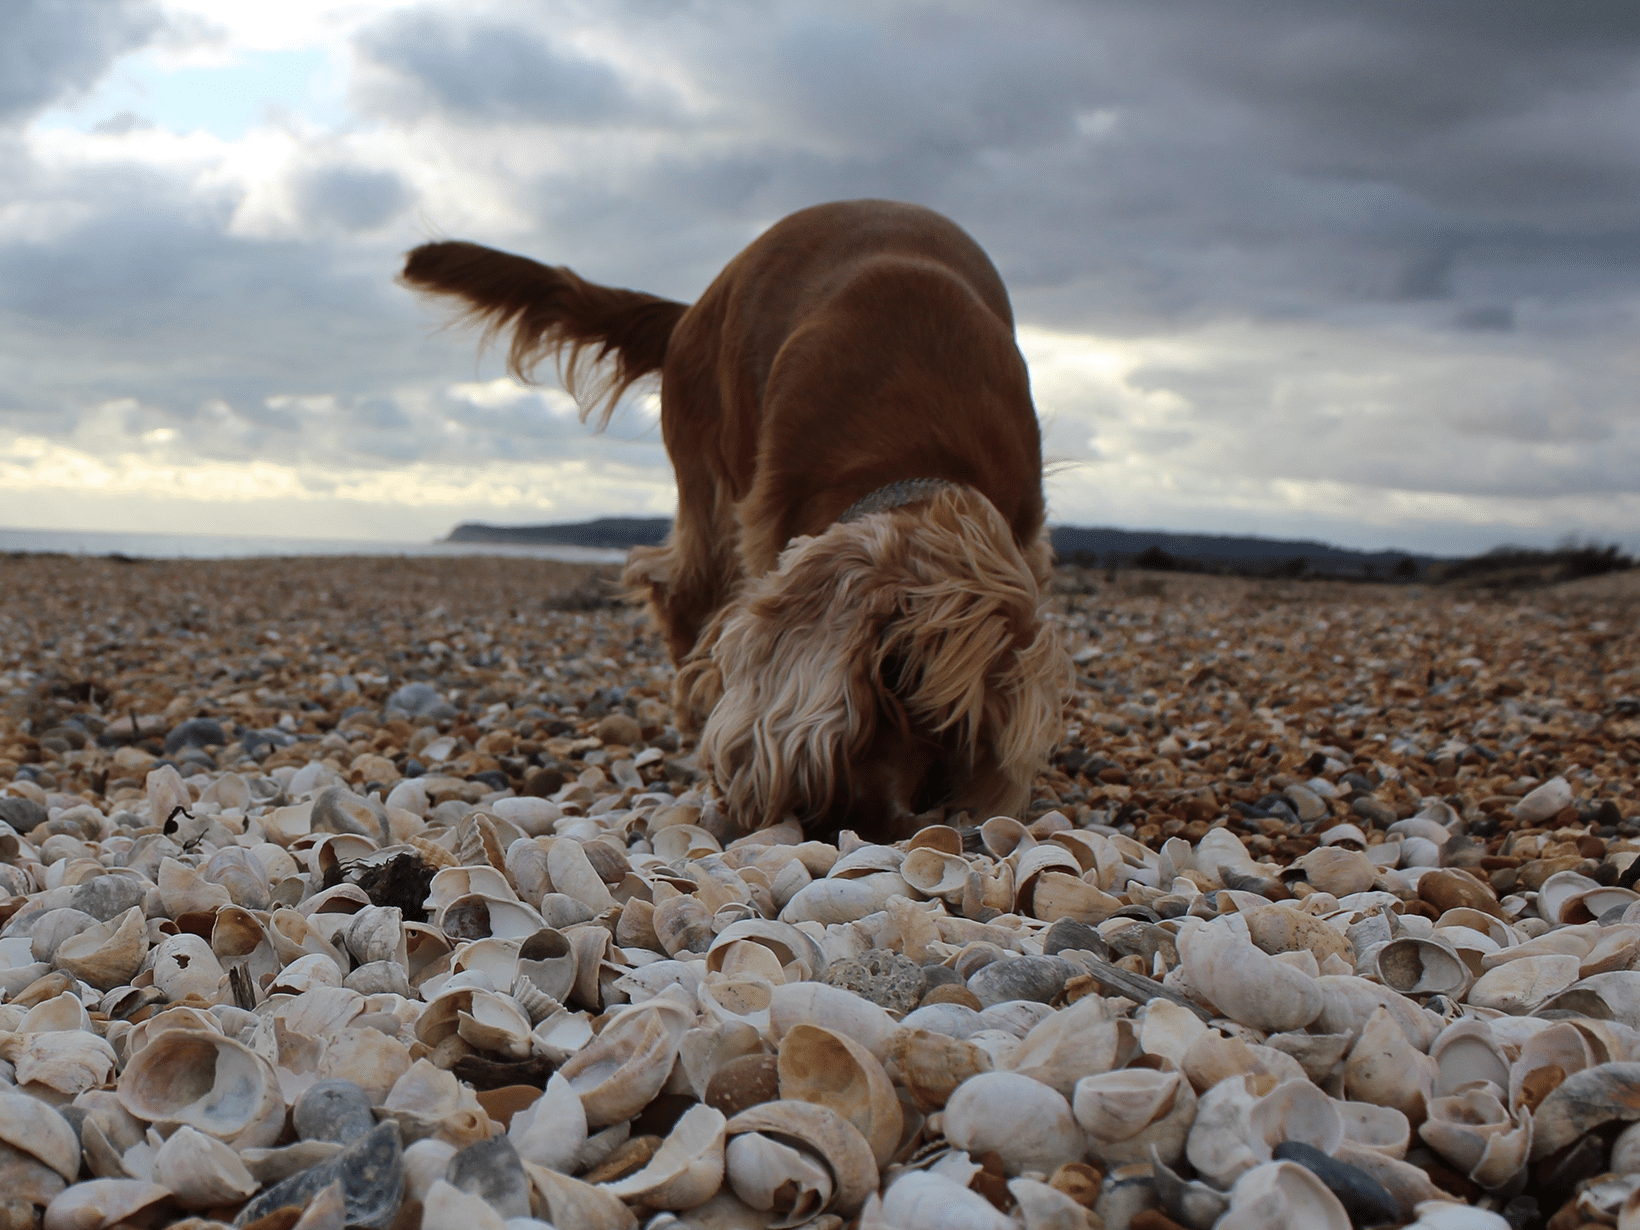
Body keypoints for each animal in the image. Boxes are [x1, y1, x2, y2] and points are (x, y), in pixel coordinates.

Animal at [401, 202, 1069, 846]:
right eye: (895, 674)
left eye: (965, 736)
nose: (878, 822)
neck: (923, 456)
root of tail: (693, 309)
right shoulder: (768, 516)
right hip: (706, 471)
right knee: (677, 586)